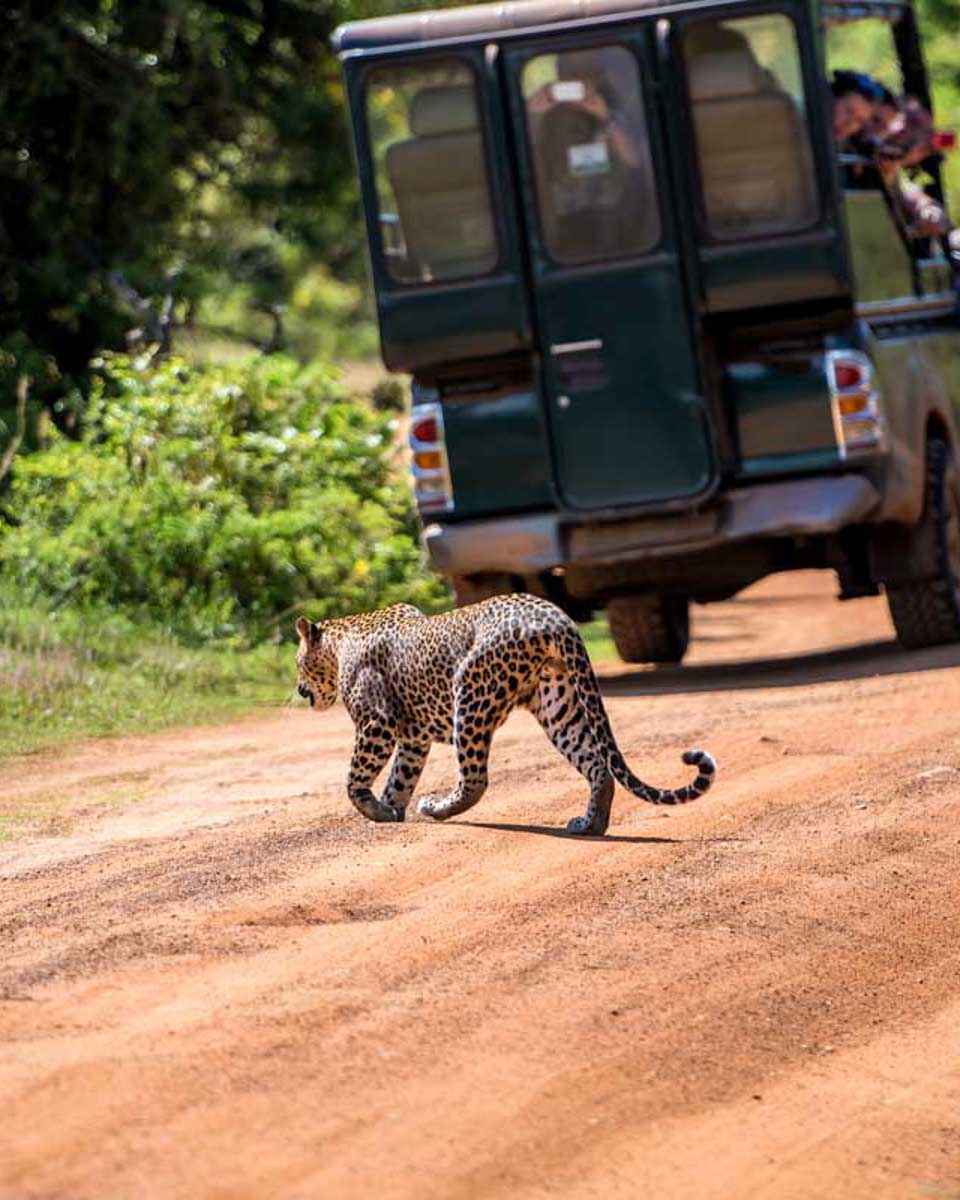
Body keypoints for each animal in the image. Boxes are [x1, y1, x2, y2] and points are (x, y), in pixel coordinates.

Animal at [294, 593, 716, 836]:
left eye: (298, 662)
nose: (299, 689)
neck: (340, 640)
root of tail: (556, 616)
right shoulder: (413, 739)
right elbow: (401, 775)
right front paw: (390, 809)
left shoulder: (376, 723)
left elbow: (354, 778)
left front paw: (375, 809)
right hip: (557, 702)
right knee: (597, 764)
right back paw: (590, 825)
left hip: (471, 693)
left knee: (475, 779)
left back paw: (438, 808)